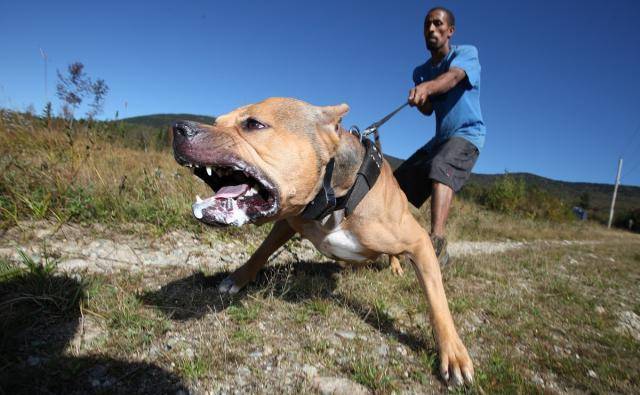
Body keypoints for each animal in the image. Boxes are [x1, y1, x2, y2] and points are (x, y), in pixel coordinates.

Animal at [172, 97, 472, 386]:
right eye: (217, 122)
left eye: (254, 124)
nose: (178, 127)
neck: (337, 196)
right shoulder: (288, 221)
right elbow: (261, 251)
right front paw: (239, 277)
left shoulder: (420, 242)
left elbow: (437, 302)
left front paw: (453, 353)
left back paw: (395, 266)